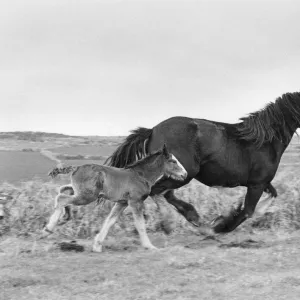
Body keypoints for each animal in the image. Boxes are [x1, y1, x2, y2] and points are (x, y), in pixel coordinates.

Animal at [41, 144, 186, 252]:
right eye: (173, 161)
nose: (184, 174)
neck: (140, 175)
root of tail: (76, 167)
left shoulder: (122, 203)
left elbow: (110, 221)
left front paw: (97, 246)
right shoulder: (135, 201)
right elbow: (140, 224)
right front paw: (149, 246)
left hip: (80, 192)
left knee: (62, 190)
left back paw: (64, 217)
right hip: (87, 196)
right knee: (62, 198)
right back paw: (48, 229)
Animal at [105, 92, 300, 233]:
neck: (265, 141)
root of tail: (152, 130)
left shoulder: (263, 183)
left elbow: (270, 197)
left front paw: (224, 216)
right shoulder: (256, 184)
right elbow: (249, 211)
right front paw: (220, 226)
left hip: (179, 174)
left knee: (166, 194)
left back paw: (192, 218)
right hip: (185, 173)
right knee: (156, 192)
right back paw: (169, 223)